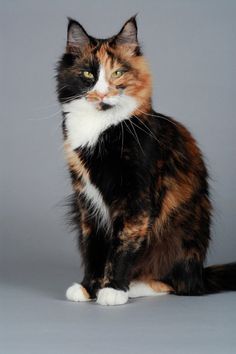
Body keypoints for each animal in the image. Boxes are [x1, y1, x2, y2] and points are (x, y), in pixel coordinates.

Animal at [55, 15, 236, 304]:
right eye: (88, 75)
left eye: (118, 73)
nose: (102, 94)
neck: (100, 128)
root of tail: (200, 272)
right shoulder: (85, 198)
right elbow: (94, 247)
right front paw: (88, 287)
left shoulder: (136, 196)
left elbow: (123, 245)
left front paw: (113, 289)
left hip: (178, 241)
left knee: (176, 284)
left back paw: (135, 286)